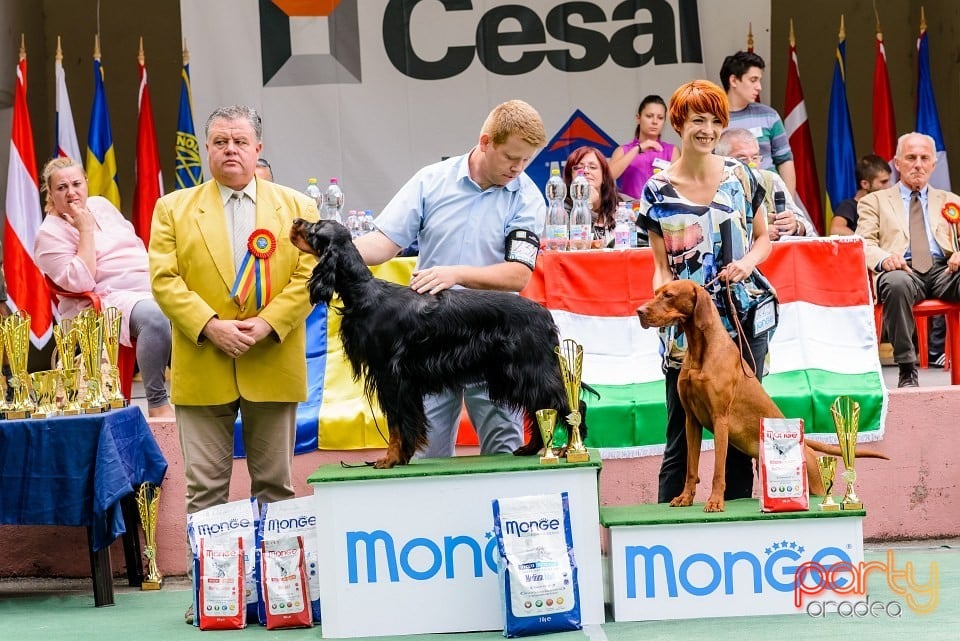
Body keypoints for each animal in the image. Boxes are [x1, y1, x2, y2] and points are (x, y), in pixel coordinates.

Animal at [284, 219, 568, 464]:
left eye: (315, 227)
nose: (296, 220)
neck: (364, 293)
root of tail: (544, 314)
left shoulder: (390, 375)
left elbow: (396, 422)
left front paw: (390, 459)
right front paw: (401, 456)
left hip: (530, 370)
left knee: (563, 403)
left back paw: (569, 449)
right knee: (539, 407)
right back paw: (532, 448)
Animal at [632, 278, 888, 510]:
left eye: (669, 295)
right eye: (657, 292)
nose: (639, 312)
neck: (699, 352)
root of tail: (808, 447)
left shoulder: (720, 419)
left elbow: (718, 471)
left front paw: (715, 501)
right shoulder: (691, 421)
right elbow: (691, 468)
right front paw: (685, 498)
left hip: (814, 482)